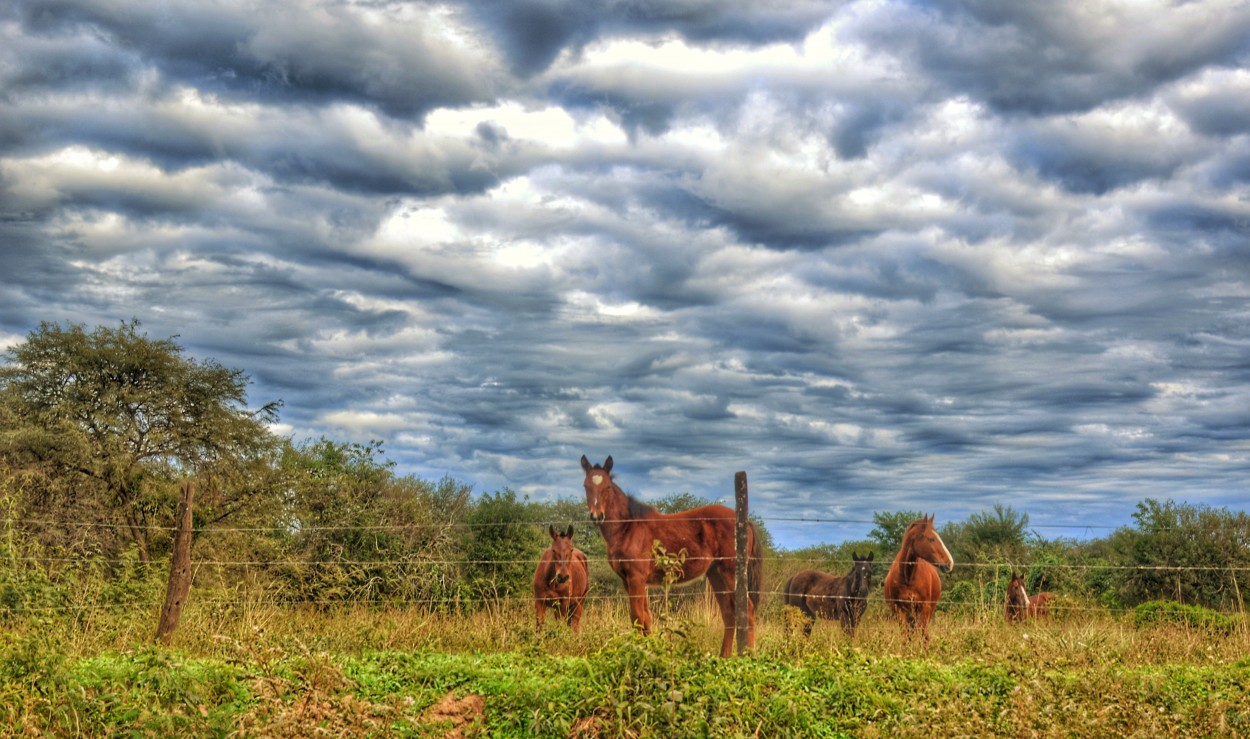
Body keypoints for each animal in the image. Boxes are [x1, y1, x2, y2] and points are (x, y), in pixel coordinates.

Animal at [580, 457, 765, 660]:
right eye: (586, 486)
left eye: (607, 487)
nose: (597, 516)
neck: (628, 527)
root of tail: (746, 521)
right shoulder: (628, 580)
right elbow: (645, 616)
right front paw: (651, 651)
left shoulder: (636, 578)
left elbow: (637, 616)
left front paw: (642, 653)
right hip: (716, 575)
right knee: (729, 613)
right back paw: (723, 657)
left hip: (731, 573)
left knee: (748, 611)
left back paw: (749, 656)